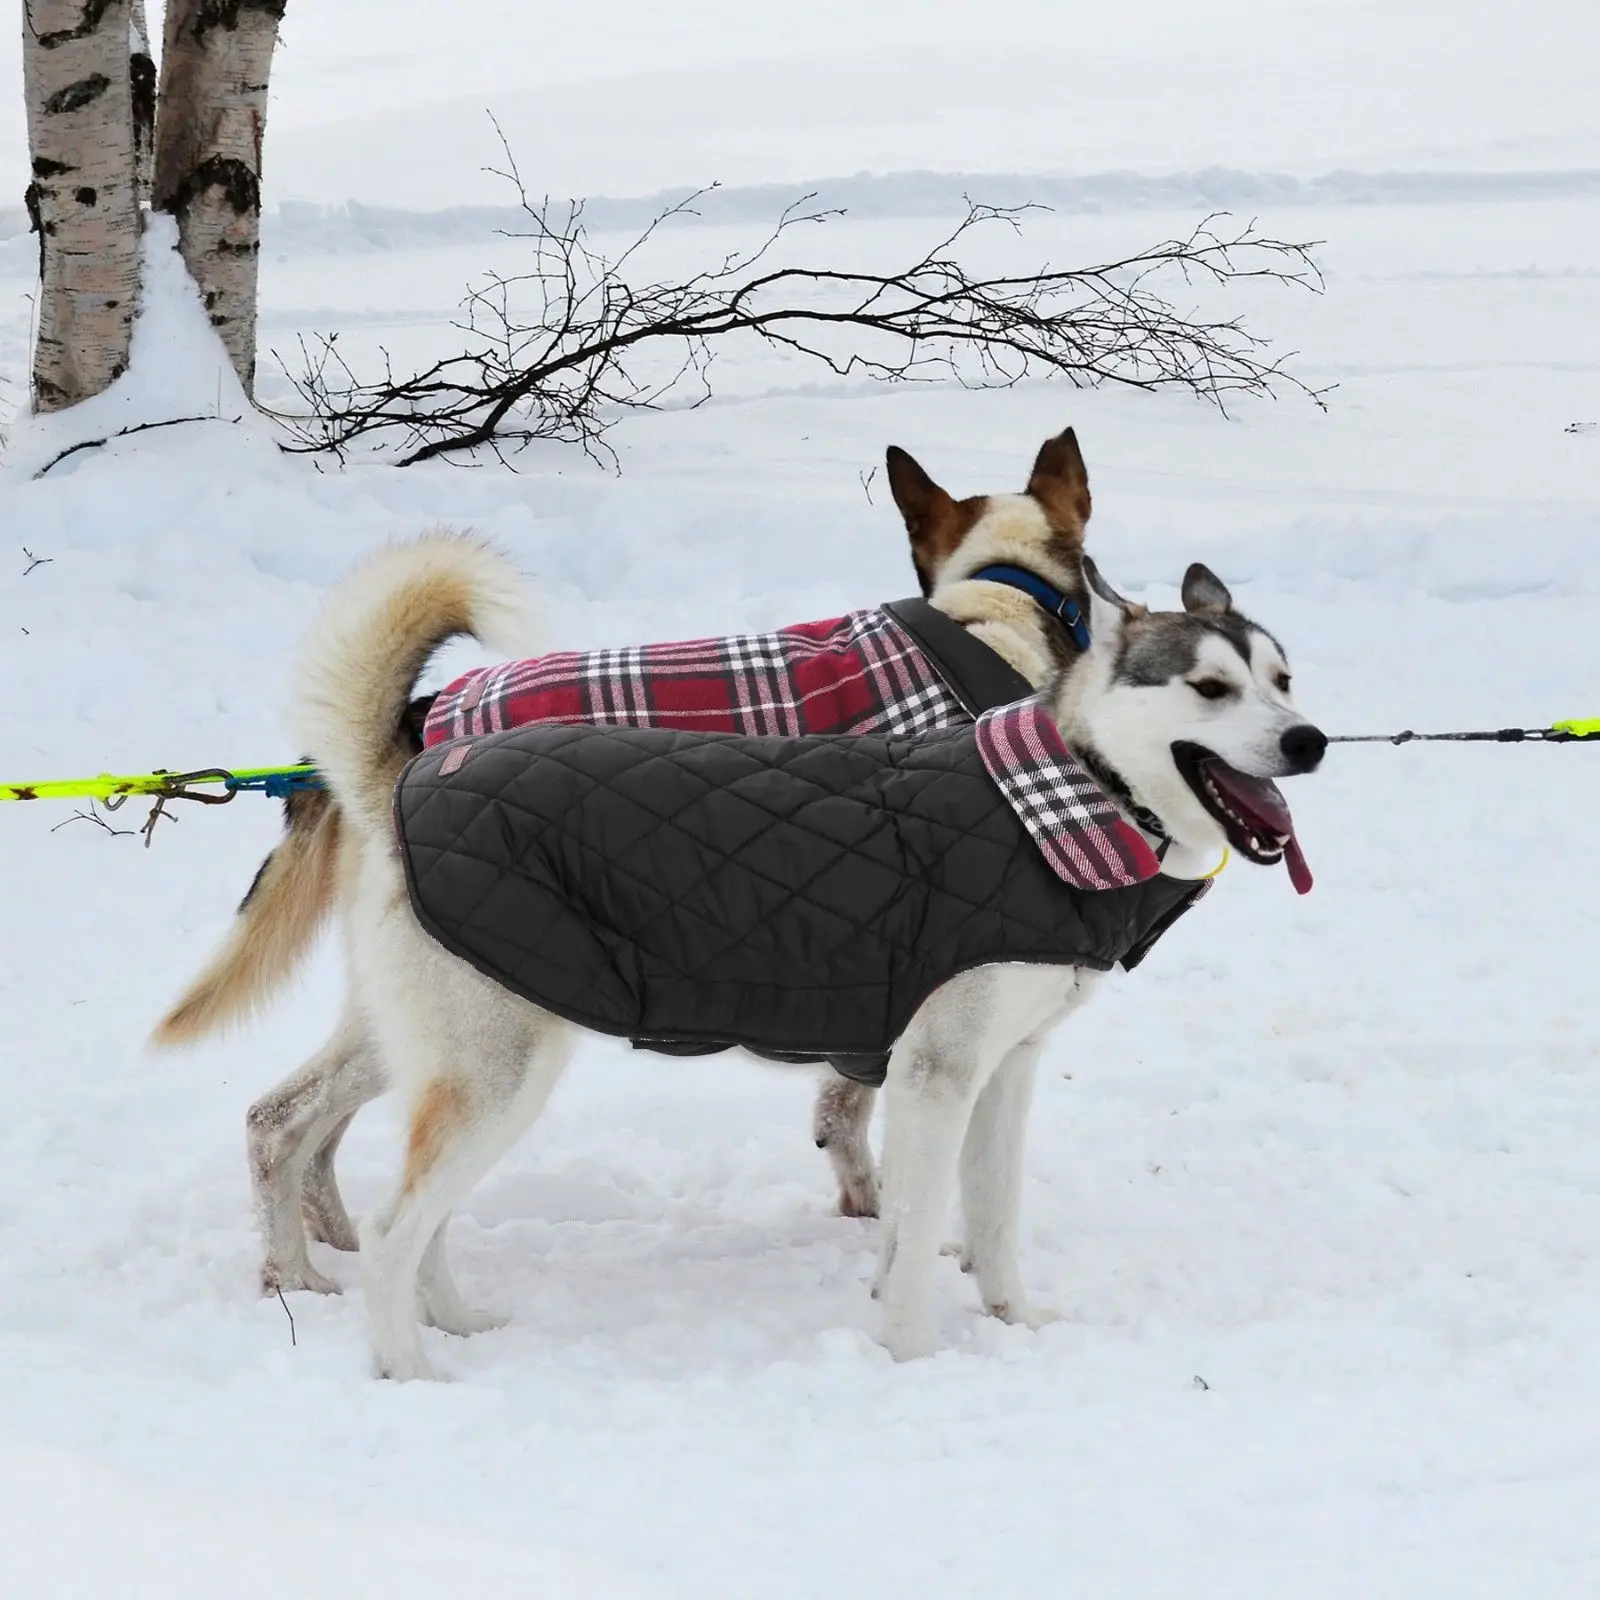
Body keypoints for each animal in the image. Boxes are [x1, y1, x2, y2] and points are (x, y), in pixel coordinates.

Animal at [152, 428, 1100, 1299]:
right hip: (485, 1018)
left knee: (287, 1123)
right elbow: (865, 1124)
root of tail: (401, 734)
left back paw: (317, 1261)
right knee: (307, 1131)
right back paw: (314, 1275)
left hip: (417, 1020)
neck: (997, 616)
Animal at [278, 518, 1324, 1382]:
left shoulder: (1007, 1070)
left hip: (464, 1064)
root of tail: (411, 772)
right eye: (1210, 688)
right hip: (501, 1076)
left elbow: (992, 1218)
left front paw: (1016, 1323)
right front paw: (913, 1360)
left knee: (401, 1207)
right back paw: (411, 1370)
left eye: (1282, 681)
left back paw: (453, 1322)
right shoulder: (934, 1079)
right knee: (391, 1229)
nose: (1310, 740)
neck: (1068, 798)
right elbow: (915, 1235)